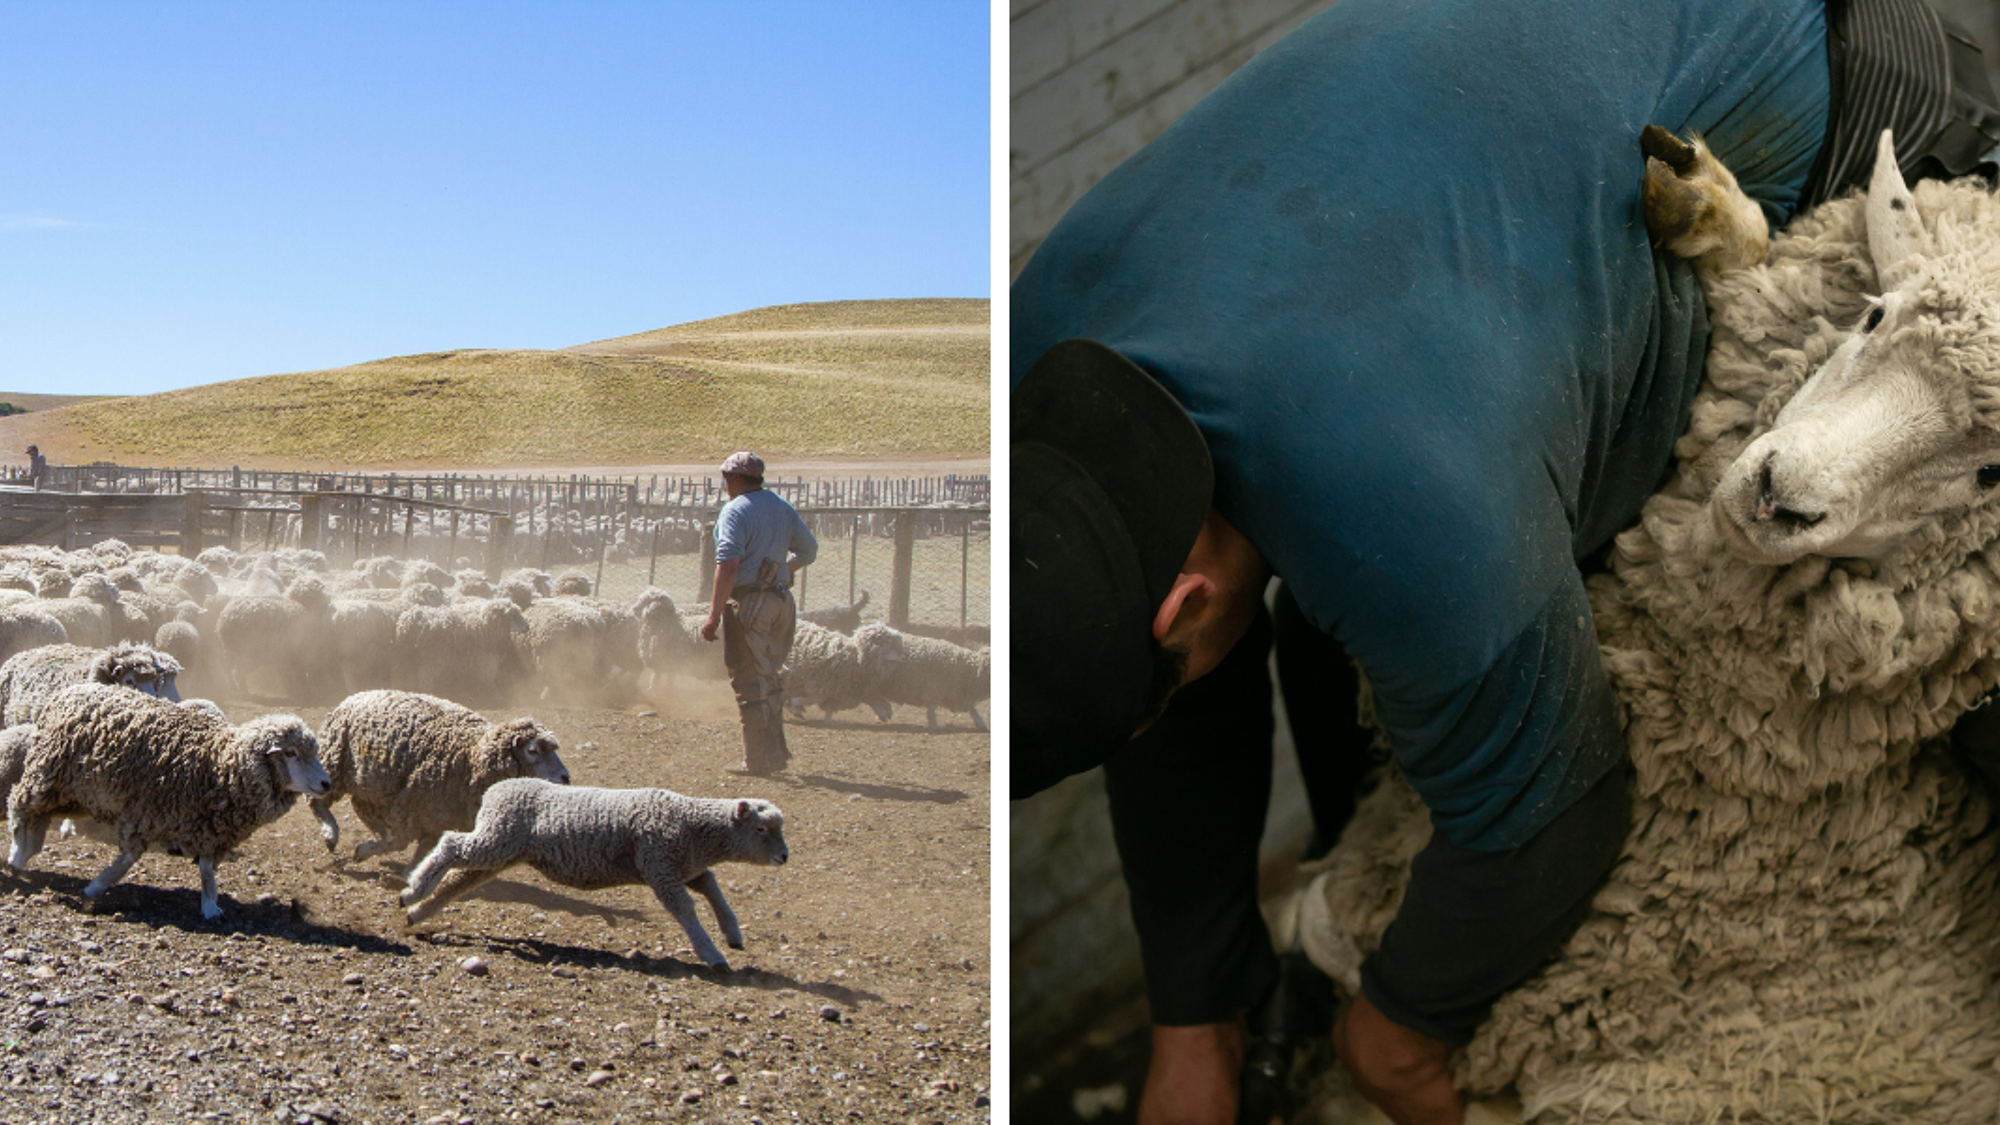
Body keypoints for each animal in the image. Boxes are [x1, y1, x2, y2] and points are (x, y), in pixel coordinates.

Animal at [6, 683, 330, 920]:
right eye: (290, 753)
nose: (326, 784)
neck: (220, 765)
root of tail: (70, 689)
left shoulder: (206, 827)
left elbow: (206, 871)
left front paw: (210, 907)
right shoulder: (144, 812)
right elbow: (127, 860)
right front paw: (95, 887)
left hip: (69, 795)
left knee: (38, 820)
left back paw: (26, 853)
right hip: (45, 776)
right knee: (19, 809)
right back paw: (16, 856)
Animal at [309, 689, 570, 869]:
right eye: (533, 751)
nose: (566, 778)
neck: (472, 755)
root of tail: (354, 696)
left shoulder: (437, 819)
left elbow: (422, 853)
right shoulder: (411, 808)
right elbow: (399, 842)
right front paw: (364, 851)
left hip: (375, 785)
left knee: (360, 806)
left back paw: (376, 831)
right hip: (336, 762)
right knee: (317, 802)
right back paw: (331, 835)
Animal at [400, 778, 788, 969]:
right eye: (761, 830)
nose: (784, 856)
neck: (694, 827)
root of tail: (496, 789)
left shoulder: (684, 867)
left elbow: (712, 887)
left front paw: (732, 933)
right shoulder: (660, 866)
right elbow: (685, 908)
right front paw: (711, 953)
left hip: (503, 849)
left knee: (457, 880)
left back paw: (416, 910)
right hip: (496, 839)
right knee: (450, 844)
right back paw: (414, 889)